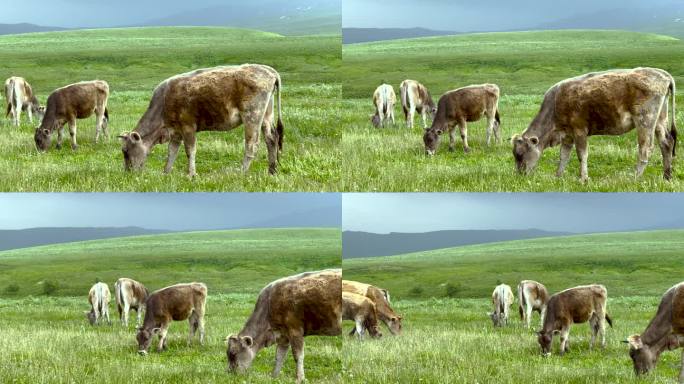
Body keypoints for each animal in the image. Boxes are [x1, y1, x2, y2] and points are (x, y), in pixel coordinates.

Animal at [119, 63, 284, 176]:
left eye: (125, 151)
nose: (128, 173)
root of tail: (270, 71)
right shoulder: (176, 132)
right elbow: (172, 152)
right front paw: (166, 172)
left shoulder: (188, 127)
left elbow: (190, 151)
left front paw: (191, 174)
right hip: (266, 115)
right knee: (271, 139)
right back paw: (272, 170)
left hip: (252, 116)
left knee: (252, 144)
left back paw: (241, 172)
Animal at [510, 67, 676, 182]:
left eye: (520, 154)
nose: (520, 175)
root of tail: (663, 75)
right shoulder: (567, 135)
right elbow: (564, 156)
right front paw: (558, 176)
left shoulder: (579, 131)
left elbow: (582, 155)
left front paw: (583, 179)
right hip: (660, 120)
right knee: (666, 143)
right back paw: (667, 176)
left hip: (645, 121)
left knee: (645, 148)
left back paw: (634, 178)